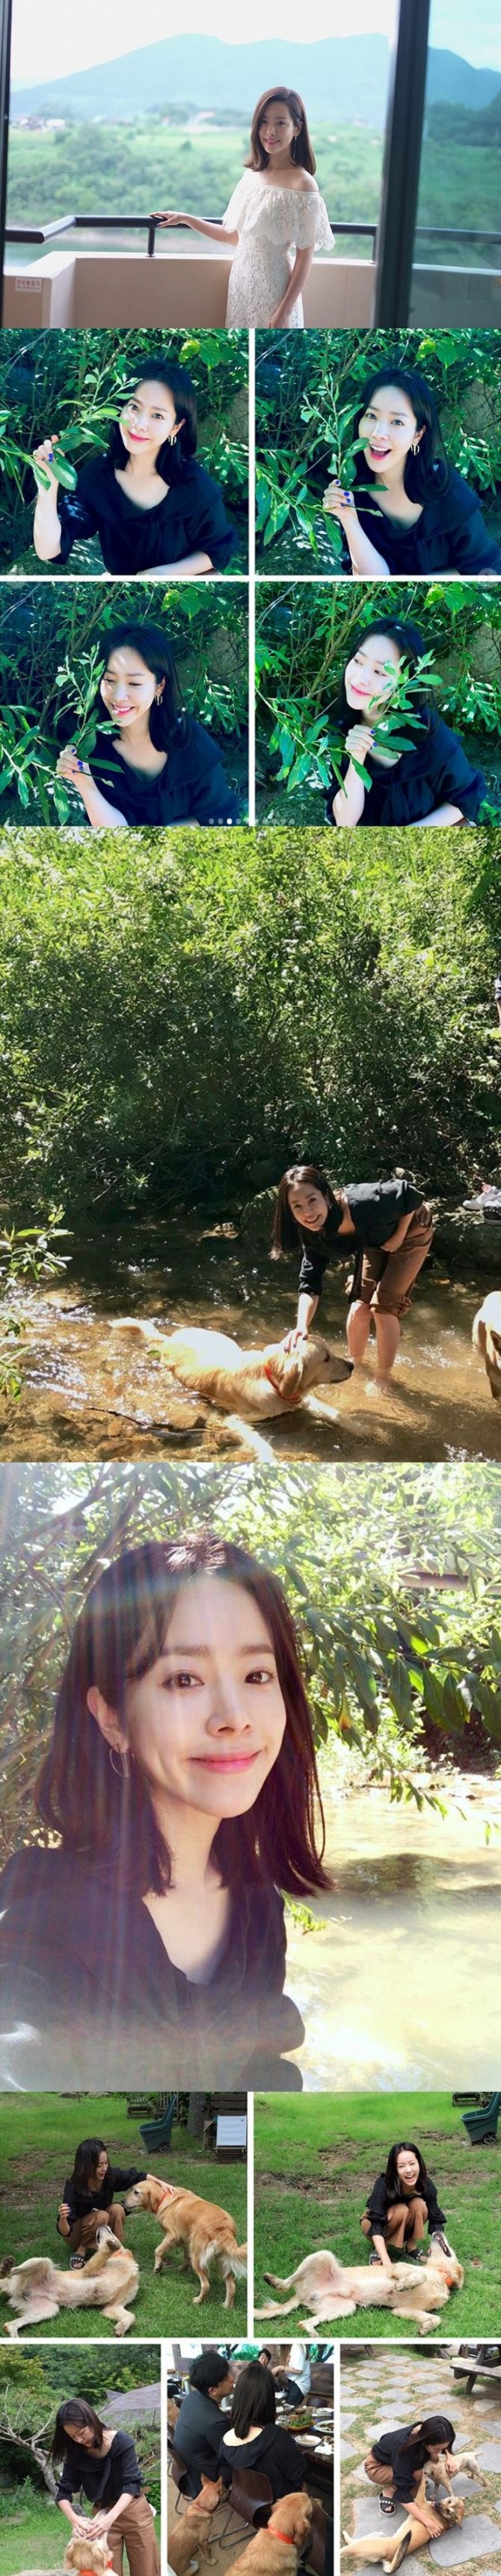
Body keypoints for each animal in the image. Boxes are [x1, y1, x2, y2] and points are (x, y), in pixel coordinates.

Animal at [0, 2215, 138, 2339]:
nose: (102, 2225)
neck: (126, 2264)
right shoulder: (89, 2270)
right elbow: (105, 2252)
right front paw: (113, 2246)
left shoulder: (113, 2306)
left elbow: (132, 2316)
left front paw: (121, 2328)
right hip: (43, 2261)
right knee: (12, 2272)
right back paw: (6, 2267)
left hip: (48, 2310)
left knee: (10, 2324)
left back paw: (14, 2335)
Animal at [123, 2173, 248, 2318]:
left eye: (136, 2192)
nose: (122, 2202)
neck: (164, 2197)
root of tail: (224, 2229)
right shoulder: (186, 2238)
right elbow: (185, 2255)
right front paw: (183, 2267)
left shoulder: (172, 2235)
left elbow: (158, 2250)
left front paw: (158, 2267)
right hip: (223, 2261)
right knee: (232, 2286)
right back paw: (227, 2306)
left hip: (198, 2257)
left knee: (206, 2285)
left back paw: (198, 2301)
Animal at [256, 2225, 464, 2349]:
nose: (438, 2230)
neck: (441, 2277)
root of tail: (303, 2294)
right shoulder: (397, 2267)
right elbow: (419, 2275)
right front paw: (404, 2284)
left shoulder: (401, 2309)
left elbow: (436, 2318)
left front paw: (425, 2328)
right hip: (322, 2255)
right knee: (288, 2283)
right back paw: (274, 2281)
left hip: (345, 2308)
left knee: (304, 2322)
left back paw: (314, 2334)